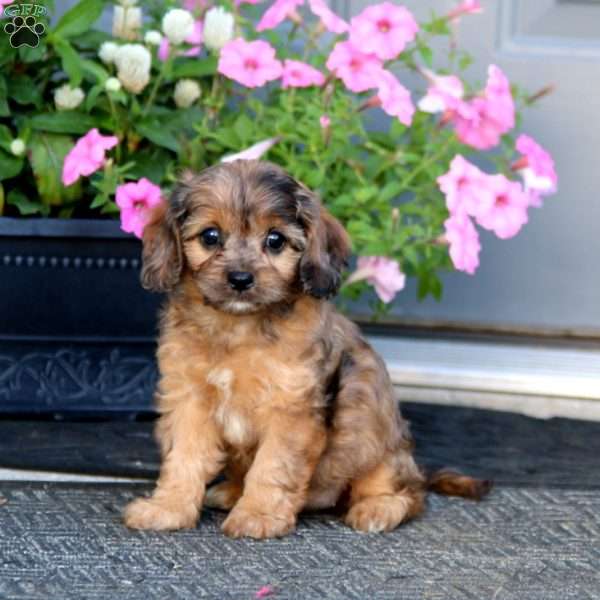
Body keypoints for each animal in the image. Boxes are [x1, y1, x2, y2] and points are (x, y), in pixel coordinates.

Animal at [124, 159, 490, 540]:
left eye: (275, 240)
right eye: (210, 236)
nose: (240, 279)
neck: (238, 328)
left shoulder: (290, 410)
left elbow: (272, 466)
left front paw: (259, 514)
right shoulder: (189, 401)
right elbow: (184, 459)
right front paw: (168, 508)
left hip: (375, 439)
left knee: (405, 492)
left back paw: (378, 508)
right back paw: (230, 492)